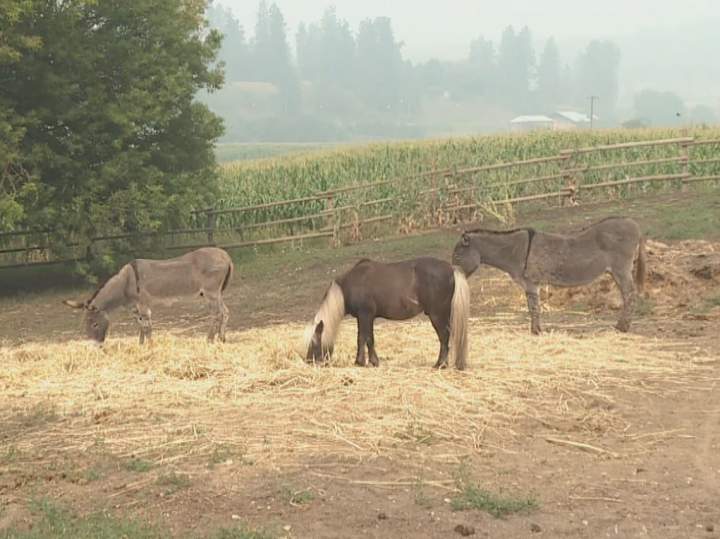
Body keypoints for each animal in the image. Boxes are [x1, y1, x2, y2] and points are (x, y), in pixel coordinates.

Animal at [63, 247, 233, 344]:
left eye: (94, 324)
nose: (96, 346)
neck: (126, 282)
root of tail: (226, 255)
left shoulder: (143, 304)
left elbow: (147, 326)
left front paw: (150, 346)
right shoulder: (134, 307)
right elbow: (140, 325)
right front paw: (141, 345)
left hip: (211, 293)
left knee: (217, 313)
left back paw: (210, 340)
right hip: (216, 293)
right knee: (225, 312)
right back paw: (222, 338)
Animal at [305, 257, 470, 370]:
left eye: (314, 342)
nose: (308, 361)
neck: (350, 285)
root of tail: (451, 268)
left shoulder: (366, 315)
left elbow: (365, 338)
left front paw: (364, 362)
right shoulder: (364, 317)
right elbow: (365, 338)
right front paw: (367, 361)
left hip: (437, 315)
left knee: (444, 337)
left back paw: (439, 364)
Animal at [452, 216, 646, 334]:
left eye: (457, 257)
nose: (452, 280)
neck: (515, 251)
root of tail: (634, 223)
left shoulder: (531, 282)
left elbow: (534, 308)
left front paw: (536, 332)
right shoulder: (530, 285)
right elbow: (532, 307)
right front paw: (535, 330)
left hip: (621, 269)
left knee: (630, 294)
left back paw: (622, 328)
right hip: (616, 271)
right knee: (627, 295)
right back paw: (621, 326)